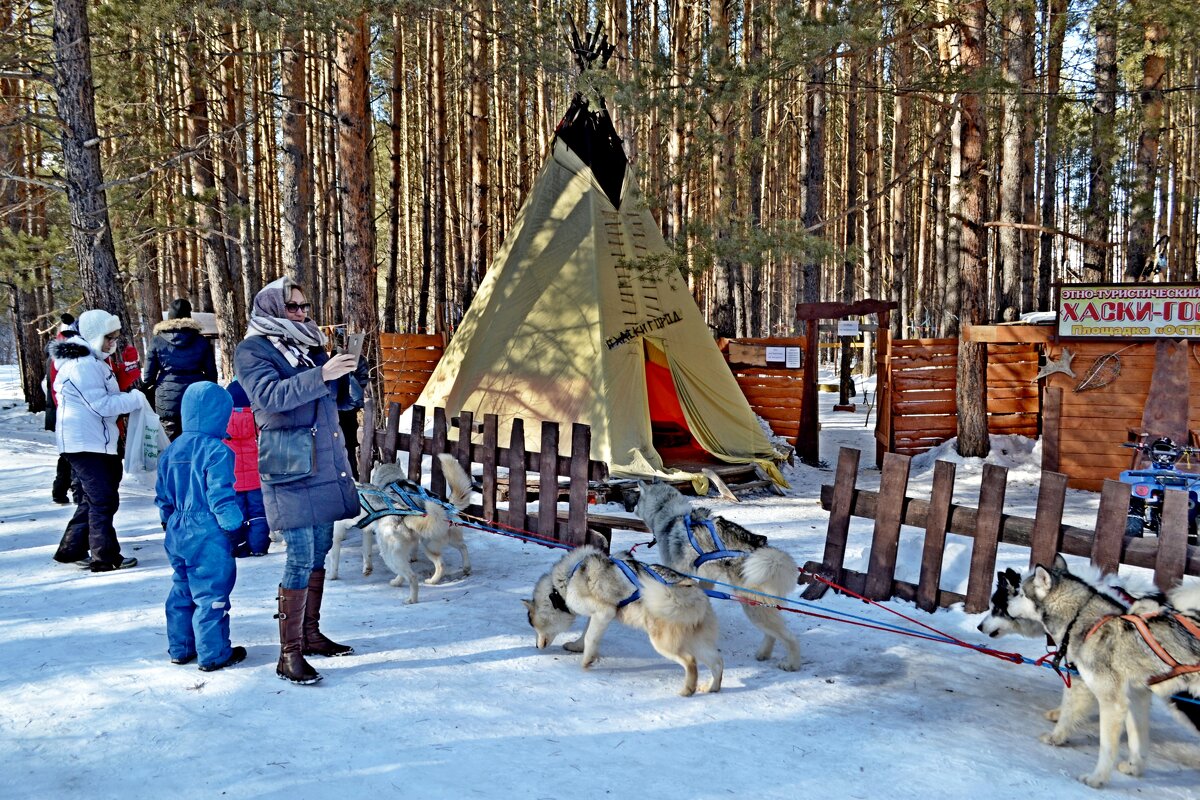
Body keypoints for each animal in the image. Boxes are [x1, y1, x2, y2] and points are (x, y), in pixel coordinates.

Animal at [333, 453, 477, 604]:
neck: (392, 480)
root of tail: (445, 507)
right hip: (439, 542)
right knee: (459, 550)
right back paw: (457, 571)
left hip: (414, 546)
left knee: (424, 569)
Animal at [523, 546, 720, 695]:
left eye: (531, 623)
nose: (536, 646)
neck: (567, 579)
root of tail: (694, 592)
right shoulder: (598, 617)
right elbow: (586, 635)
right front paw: (577, 647)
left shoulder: (604, 612)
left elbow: (590, 638)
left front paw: (586, 662)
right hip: (696, 642)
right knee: (717, 663)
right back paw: (711, 687)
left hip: (664, 643)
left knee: (691, 661)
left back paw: (687, 690)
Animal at [633, 482, 801, 671]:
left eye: (637, 499)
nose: (632, 508)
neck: (671, 516)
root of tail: (757, 548)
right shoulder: (707, 576)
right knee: (772, 632)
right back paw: (764, 653)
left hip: (752, 604)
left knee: (789, 636)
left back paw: (792, 663)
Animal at [1012, 556, 1200, 786]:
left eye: (1022, 593)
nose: (1006, 605)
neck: (1080, 617)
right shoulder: (1136, 698)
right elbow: (1137, 741)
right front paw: (1133, 768)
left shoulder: (1112, 702)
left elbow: (1104, 745)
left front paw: (1097, 778)